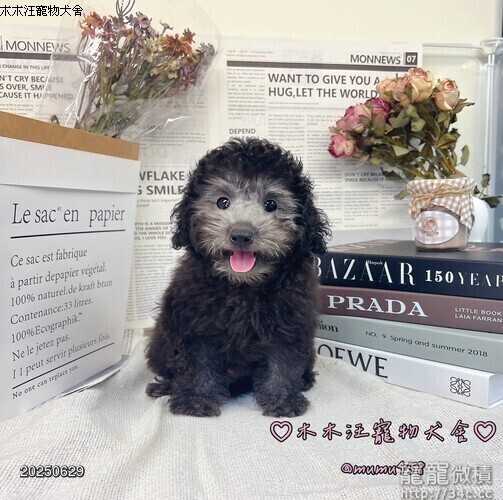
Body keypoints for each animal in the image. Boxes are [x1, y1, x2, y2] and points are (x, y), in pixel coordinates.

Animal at [145, 137, 330, 417]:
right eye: (223, 202)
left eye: (271, 204)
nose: (241, 235)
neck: (242, 288)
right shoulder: (194, 325)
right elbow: (197, 364)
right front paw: (196, 400)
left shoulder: (288, 324)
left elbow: (283, 363)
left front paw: (282, 400)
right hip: (161, 342)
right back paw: (165, 386)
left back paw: (305, 380)